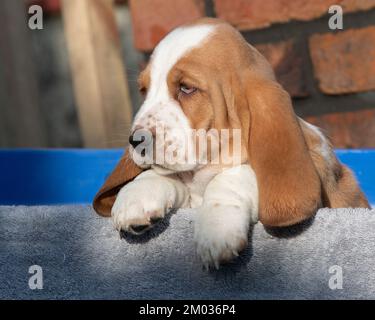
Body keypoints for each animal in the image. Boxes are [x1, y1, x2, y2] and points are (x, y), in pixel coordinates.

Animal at [93, 17, 370, 268]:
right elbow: (159, 174)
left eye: (186, 88)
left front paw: (216, 228)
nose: (136, 140)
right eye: (144, 91)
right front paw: (137, 197)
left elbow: (236, 174)